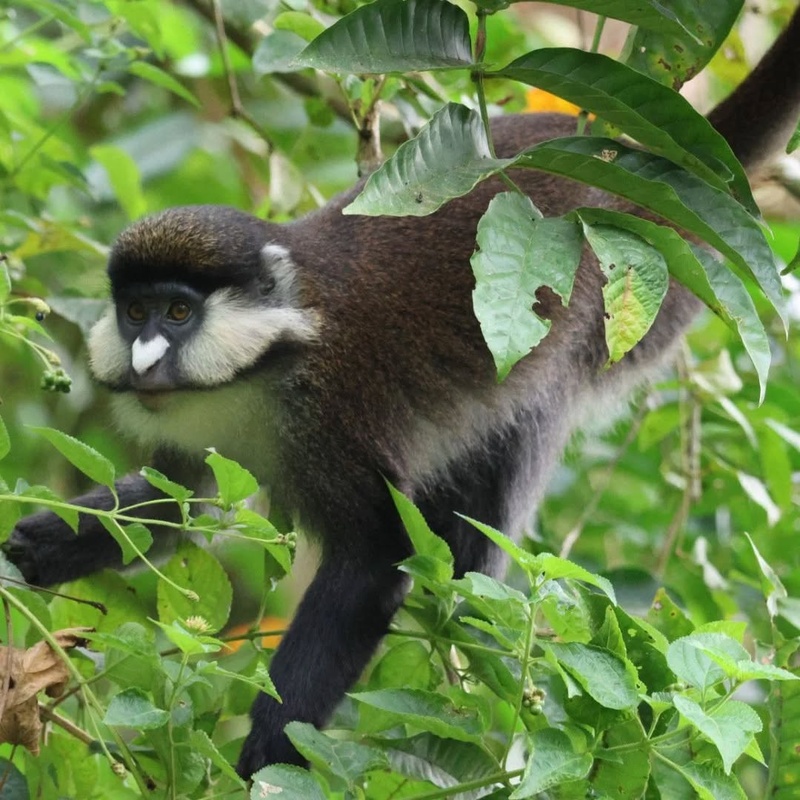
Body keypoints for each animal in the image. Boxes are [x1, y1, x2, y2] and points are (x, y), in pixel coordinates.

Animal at [3, 6, 800, 779]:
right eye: (134, 311)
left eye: (177, 313)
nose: (144, 359)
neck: (266, 364)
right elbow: (180, 502)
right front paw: (36, 544)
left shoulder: (332, 417)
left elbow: (375, 560)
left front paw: (271, 754)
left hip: (633, 308)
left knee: (520, 430)